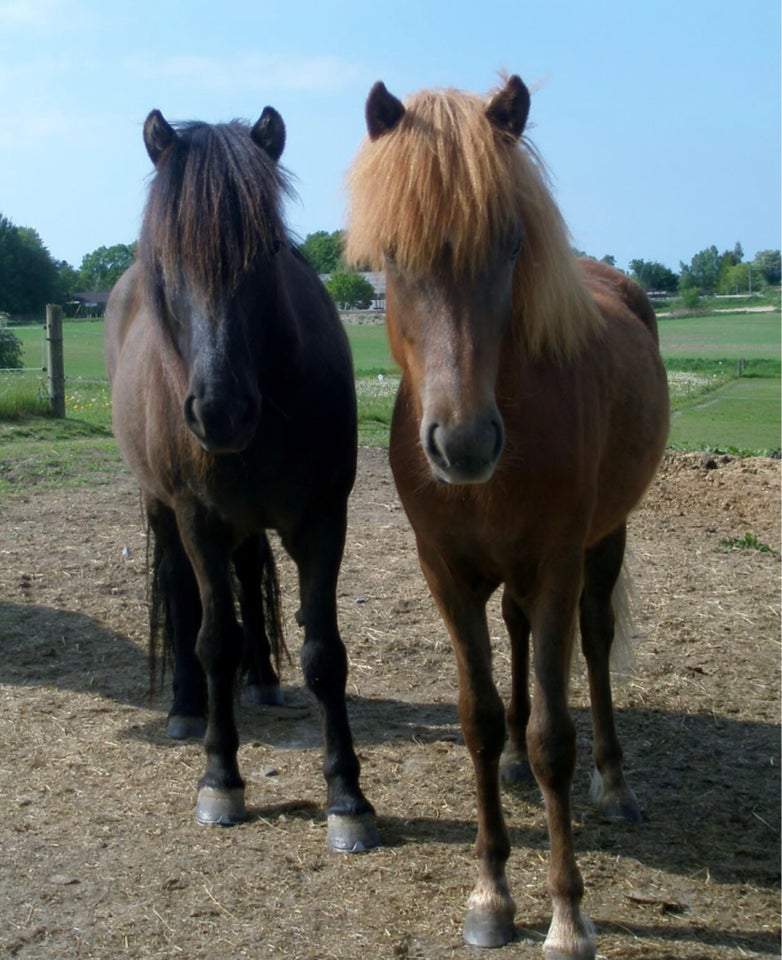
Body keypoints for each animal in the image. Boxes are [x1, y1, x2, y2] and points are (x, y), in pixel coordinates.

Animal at [105, 109, 382, 852]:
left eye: (268, 253)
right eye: (166, 261)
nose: (220, 409)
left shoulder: (324, 520)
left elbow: (324, 651)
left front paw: (347, 797)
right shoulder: (198, 520)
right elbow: (213, 640)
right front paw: (220, 780)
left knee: (250, 569)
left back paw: (262, 679)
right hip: (162, 508)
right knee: (181, 593)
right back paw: (184, 706)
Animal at [348, 79, 668, 956]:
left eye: (512, 243)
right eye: (393, 252)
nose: (462, 444)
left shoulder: (557, 564)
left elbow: (555, 735)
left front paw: (566, 912)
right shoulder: (447, 577)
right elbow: (481, 722)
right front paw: (491, 891)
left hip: (603, 542)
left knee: (593, 644)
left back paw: (618, 785)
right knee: (519, 640)